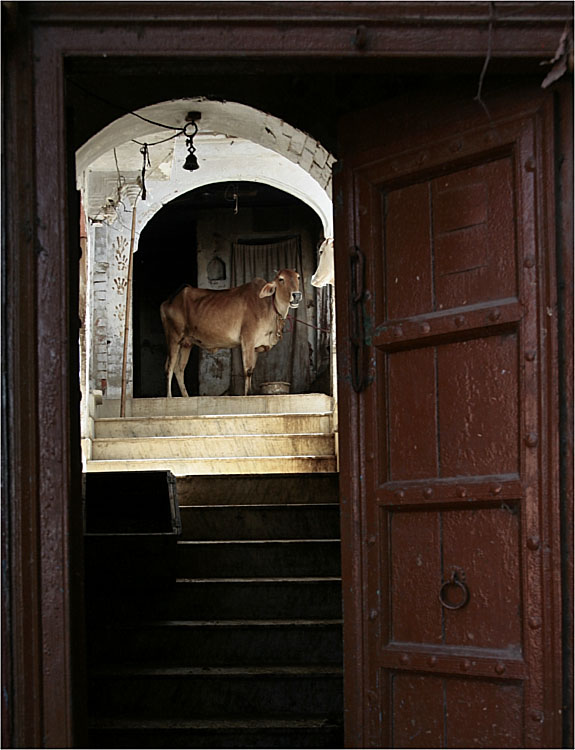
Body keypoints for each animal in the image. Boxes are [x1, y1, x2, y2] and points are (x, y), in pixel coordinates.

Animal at [158, 270, 302, 400]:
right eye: (281, 279)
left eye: (298, 277)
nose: (296, 295)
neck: (268, 307)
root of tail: (168, 302)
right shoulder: (247, 339)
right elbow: (248, 370)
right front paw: (247, 395)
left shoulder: (255, 346)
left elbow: (252, 370)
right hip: (173, 338)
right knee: (169, 367)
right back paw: (169, 397)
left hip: (186, 343)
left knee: (179, 369)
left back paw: (186, 397)